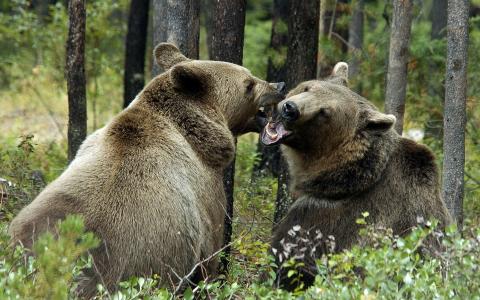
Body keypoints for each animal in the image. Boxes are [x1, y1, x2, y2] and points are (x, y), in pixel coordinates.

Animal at [9, 42, 284, 298]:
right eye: (249, 83)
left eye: (251, 76)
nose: (278, 85)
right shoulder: (206, 196)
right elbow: (211, 254)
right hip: (128, 262)